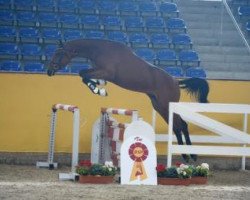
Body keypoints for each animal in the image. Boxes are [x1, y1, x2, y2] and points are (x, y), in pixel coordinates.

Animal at [47, 38, 209, 162]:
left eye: (58, 53)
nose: (49, 71)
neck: (99, 49)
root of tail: (176, 82)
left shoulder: (107, 72)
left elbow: (83, 74)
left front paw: (98, 90)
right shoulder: (101, 72)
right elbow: (85, 75)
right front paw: (99, 87)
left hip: (166, 105)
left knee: (181, 125)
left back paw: (190, 155)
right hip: (159, 106)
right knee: (177, 126)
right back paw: (187, 155)